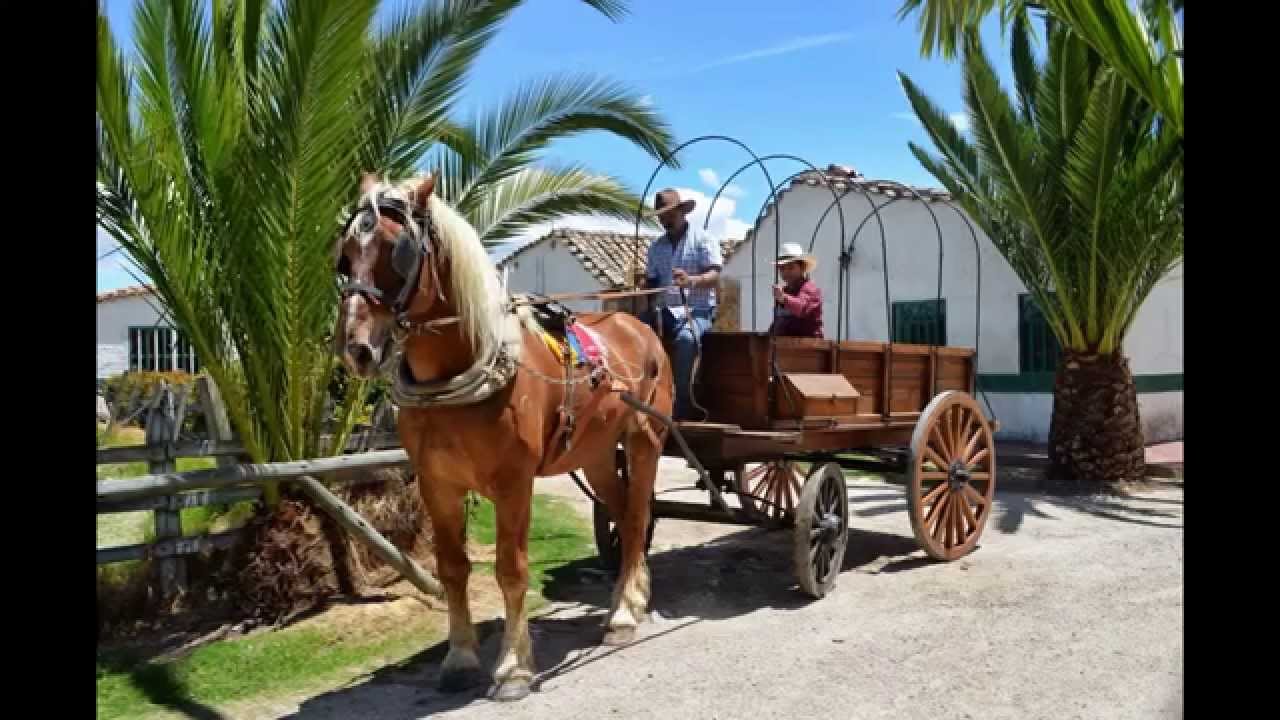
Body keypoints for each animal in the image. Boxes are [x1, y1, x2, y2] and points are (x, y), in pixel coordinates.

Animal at [330, 170, 675, 696]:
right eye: (344, 256)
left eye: (398, 250)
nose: (356, 348)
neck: (462, 372)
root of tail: (635, 322)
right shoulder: (436, 484)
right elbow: (453, 570)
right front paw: (459, 658)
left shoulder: (514, 483)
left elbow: (511, 570)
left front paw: (513, 667)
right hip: (595, 453)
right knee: (622, 514)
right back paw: (632, 596)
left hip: (645, 441)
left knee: (637, 518)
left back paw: (621, 616)